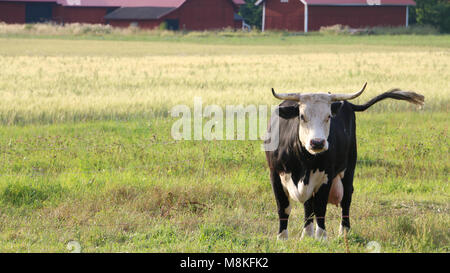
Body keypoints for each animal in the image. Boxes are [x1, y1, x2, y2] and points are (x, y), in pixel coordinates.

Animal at [262, 82, 424, 238]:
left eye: (328, 116)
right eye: (302, 116)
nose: (317, 143)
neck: (303, 161)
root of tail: (348, 104)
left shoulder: (326, 176)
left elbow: (320, 208)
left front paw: (321, 238)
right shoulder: (274, 174)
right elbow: (283, 207)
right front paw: (282, 238)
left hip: (349, 168)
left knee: (346, 199)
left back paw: (344, 231)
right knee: (308, 205)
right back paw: (307, 234)